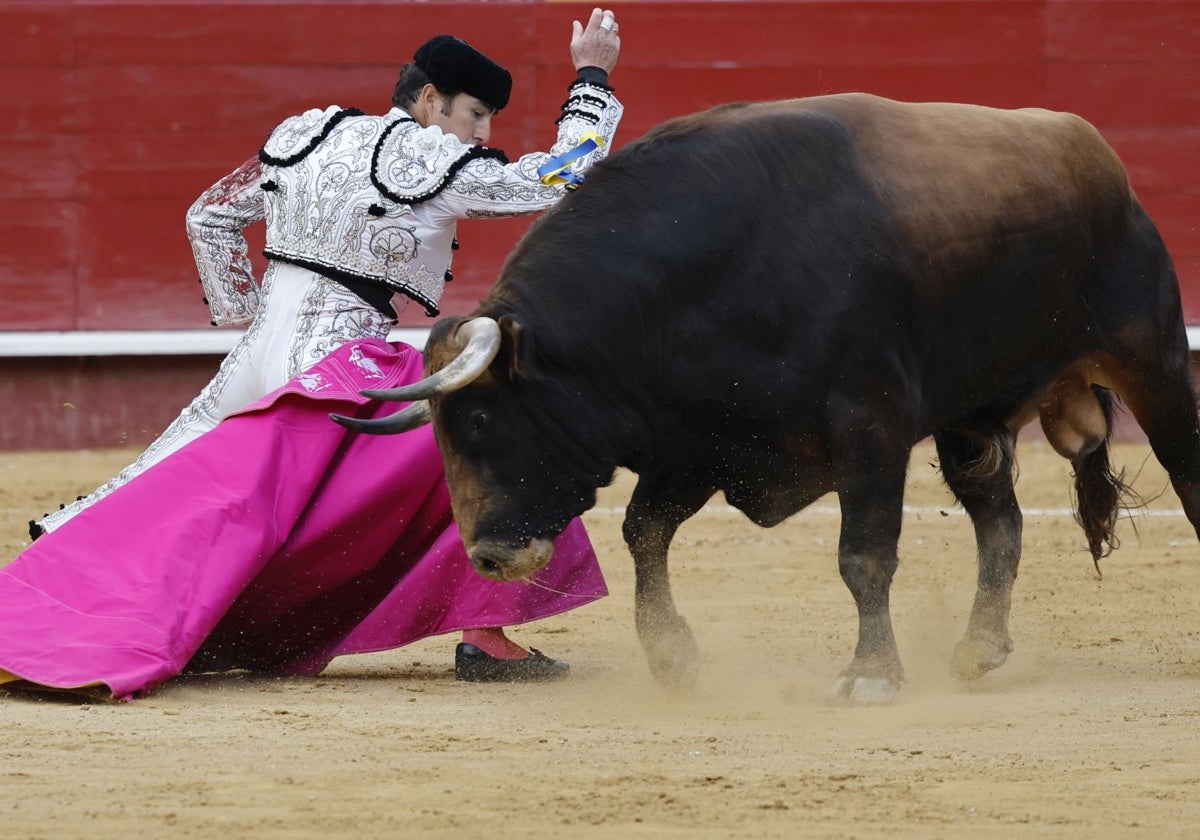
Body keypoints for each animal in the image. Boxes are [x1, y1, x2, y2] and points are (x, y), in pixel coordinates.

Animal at [331, 95, 1200, 705]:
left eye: (481, 418)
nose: (489, 557)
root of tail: (1099, 157)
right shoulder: (698, 439)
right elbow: (645, 531)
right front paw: (673, 657)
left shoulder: (871, 426)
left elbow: (863, 554)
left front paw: (870, 675)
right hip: (969, 418)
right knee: (1002, 523)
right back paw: (978, 648)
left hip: (1152, 357)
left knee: (1186, 479)